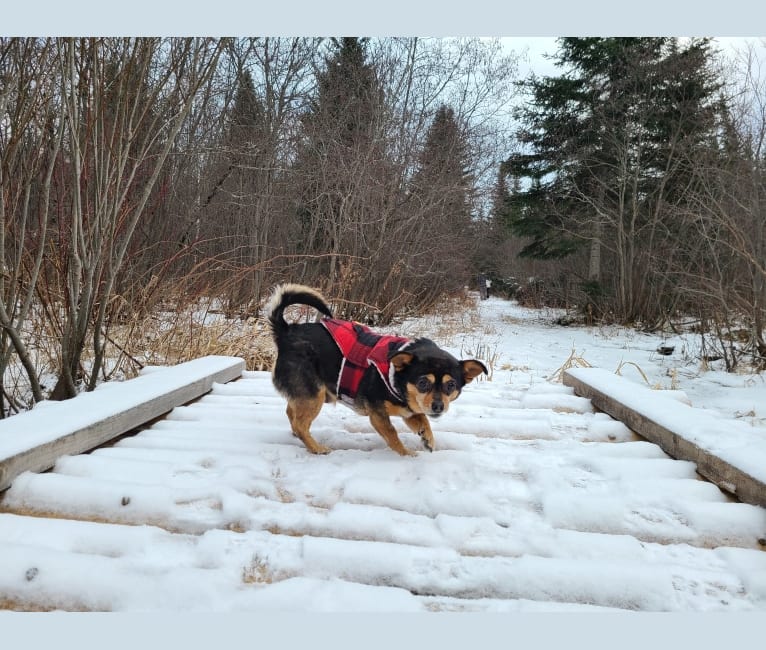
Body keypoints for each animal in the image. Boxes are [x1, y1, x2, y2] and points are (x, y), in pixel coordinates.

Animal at [268, 284, 488, 456]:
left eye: (451, 385)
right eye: (423, 382)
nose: (438, 406)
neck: (397, 379)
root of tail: (286, 332)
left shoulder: (410, 411)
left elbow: (423, 419)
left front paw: (428, 438)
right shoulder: (378, 415)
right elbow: (392, 434)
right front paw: (406, 453)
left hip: (308, 395)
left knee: (292, 413)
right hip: (314, 395)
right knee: (300, 423)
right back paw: (316, 447)